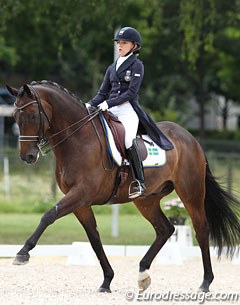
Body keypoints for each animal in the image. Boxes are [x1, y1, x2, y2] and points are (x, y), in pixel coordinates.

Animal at [5, 81, 240, 292]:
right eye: (15, 117)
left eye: (33, 116)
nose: (27, 156)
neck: (78, 139)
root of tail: (190, 138)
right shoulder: (81, 202)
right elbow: (94, 238)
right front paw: (107, 281)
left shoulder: (81, 194)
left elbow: (48, 215)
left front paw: (22, 253)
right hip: (147, 200)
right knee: (165, 229)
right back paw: (143, 275)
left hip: (190, 192)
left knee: (201, 229)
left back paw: (205, 282)